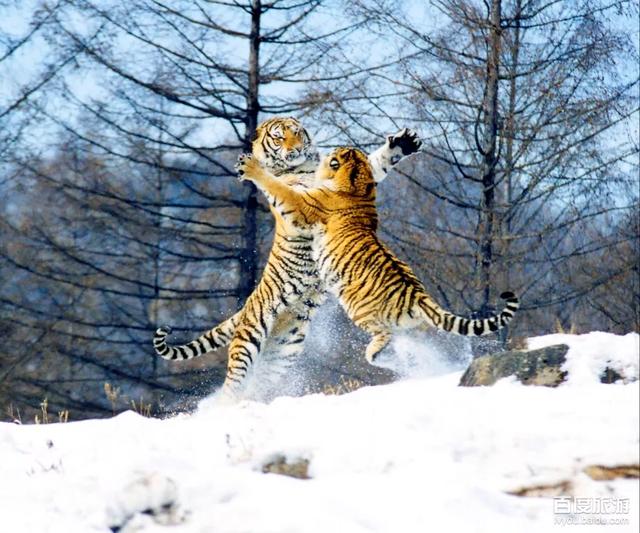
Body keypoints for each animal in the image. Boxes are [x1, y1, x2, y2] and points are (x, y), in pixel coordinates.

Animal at [153, 117, 422, 398]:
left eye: (296, 133)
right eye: (279, 137)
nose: (295, 150)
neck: (304, 167)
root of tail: (246, 306)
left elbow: (374, 164)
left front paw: (402, 143)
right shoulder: (305, 200)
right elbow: (279, 188)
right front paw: (251, 167)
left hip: (283, 352)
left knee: (258, 384)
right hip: (249, 338)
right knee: (233, 383)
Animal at [235, 147, 520, 363]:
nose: (324, 152)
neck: (359, 184)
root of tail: (419, 296)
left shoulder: (303, 206)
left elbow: (279, 189)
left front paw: (252, 167)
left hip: (358, 309)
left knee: (384, 335)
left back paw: (374, 354)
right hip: (416, 326)